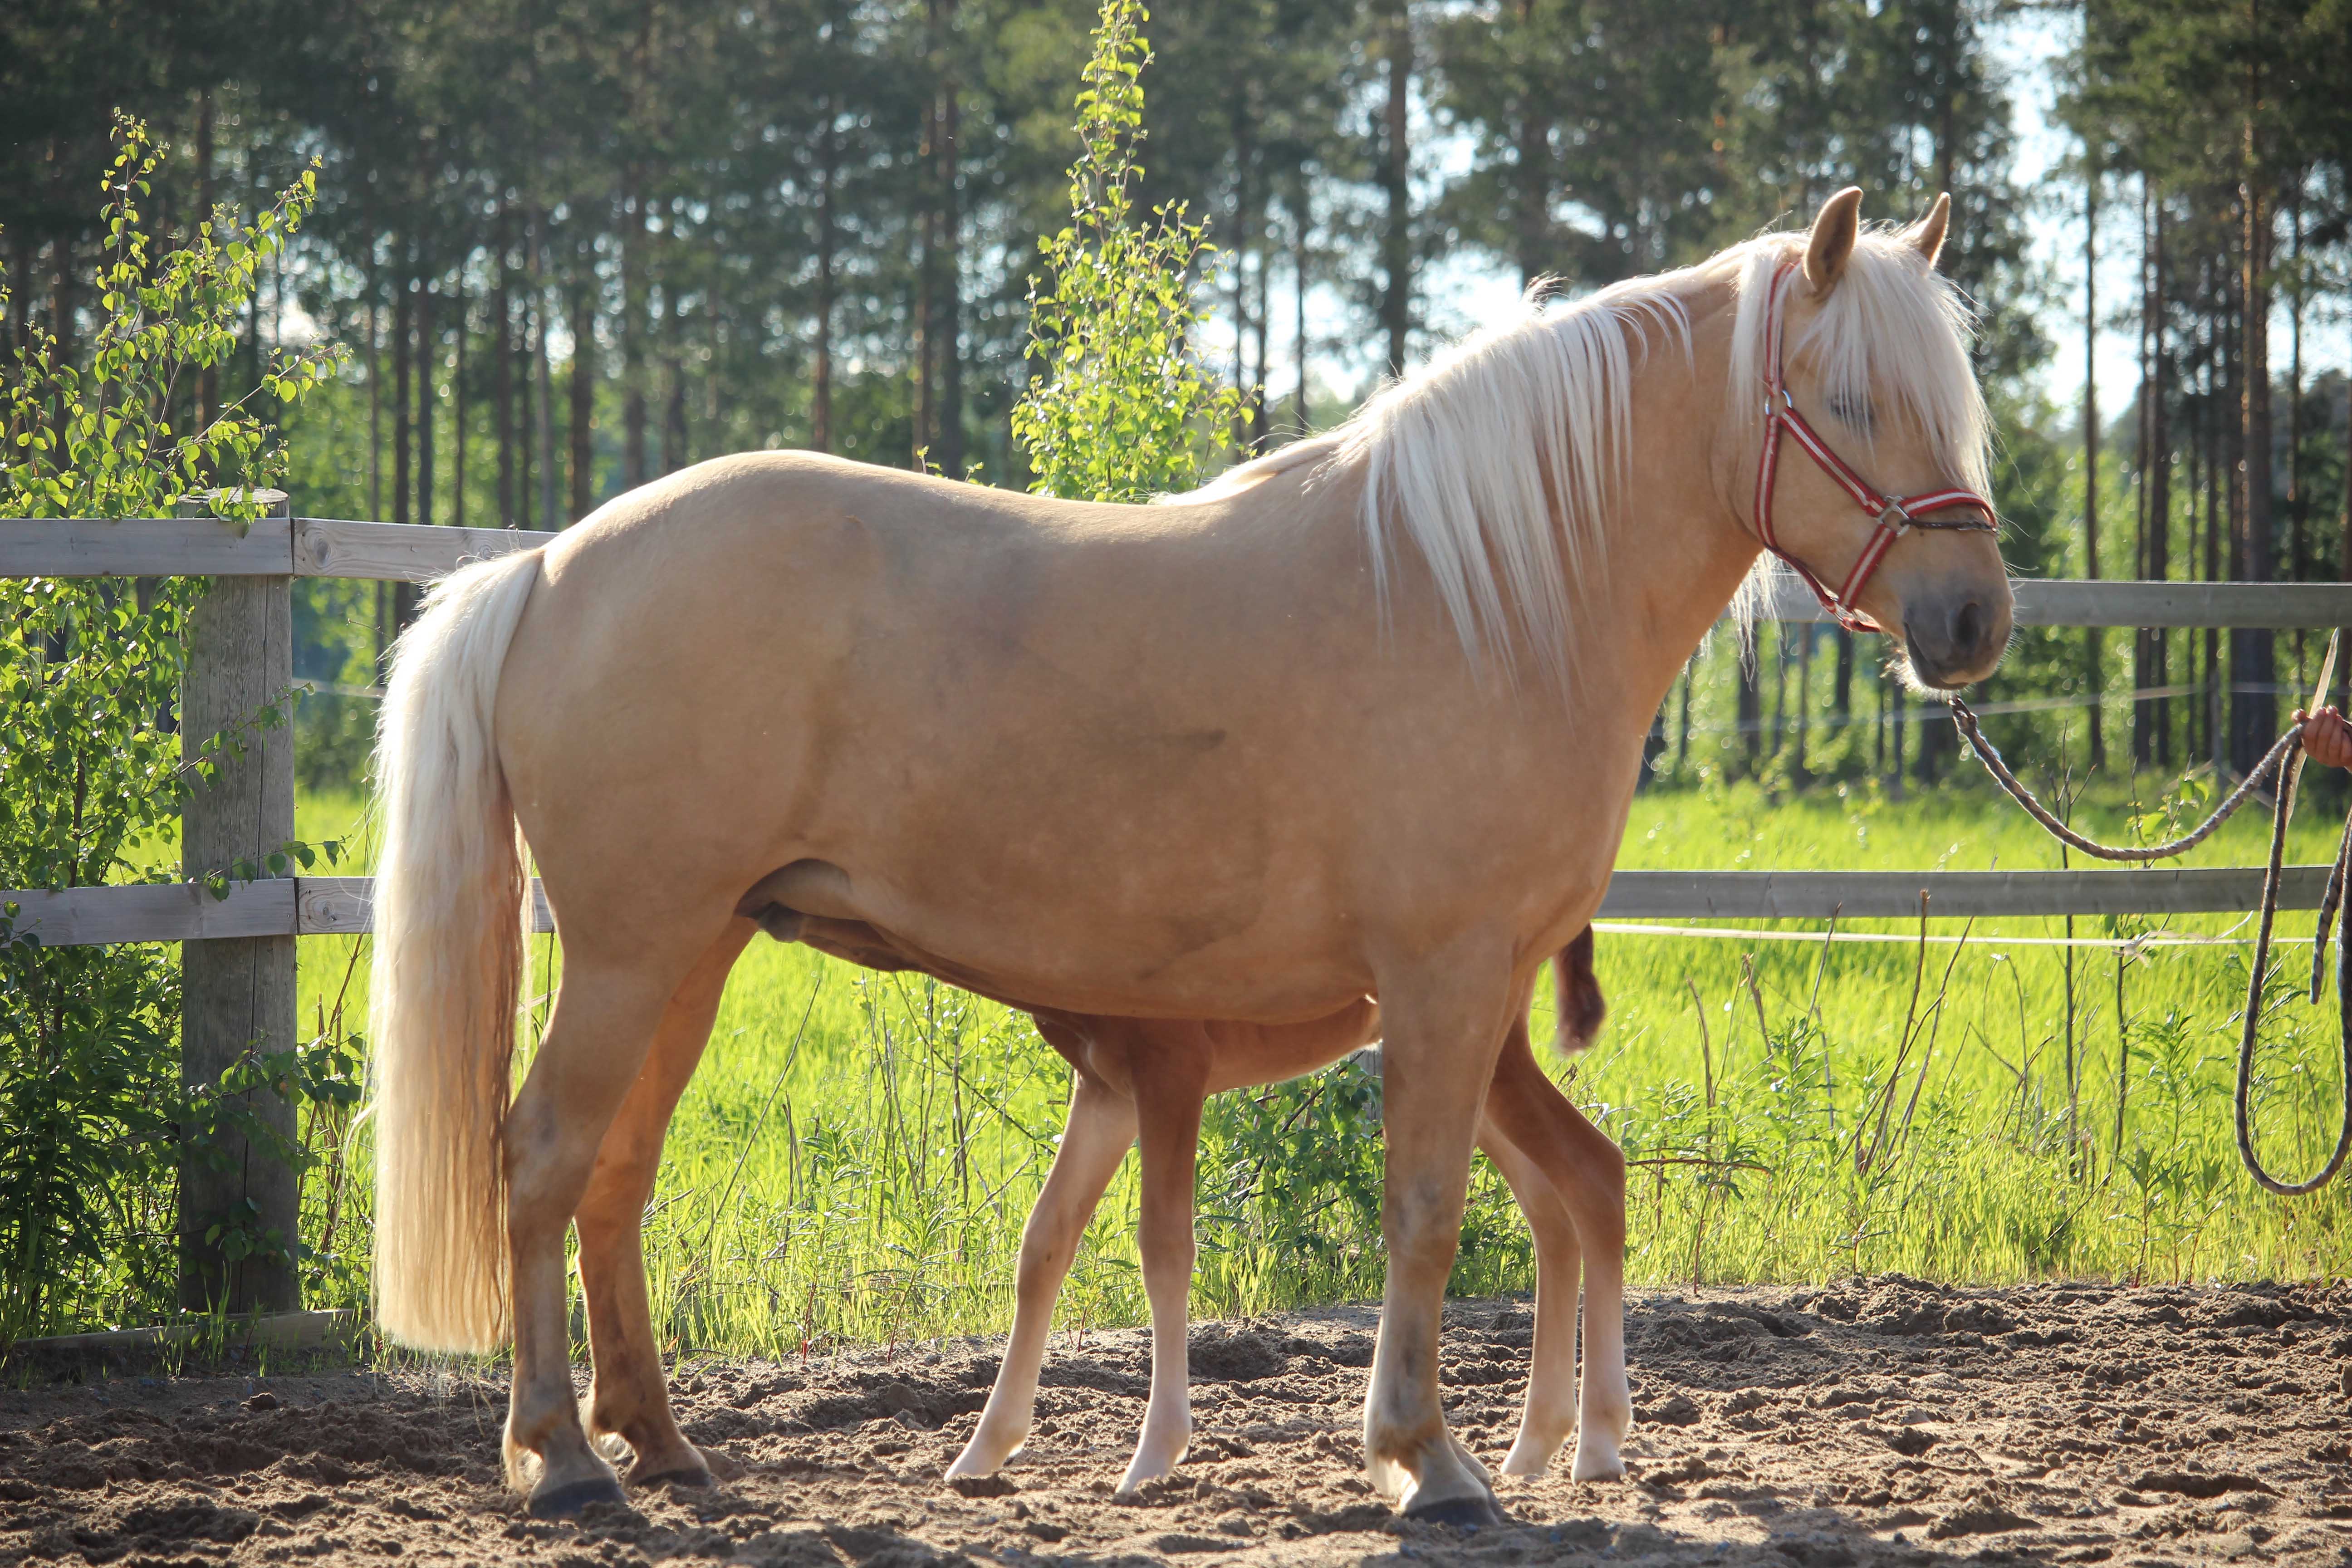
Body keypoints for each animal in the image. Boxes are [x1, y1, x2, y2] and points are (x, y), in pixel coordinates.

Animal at [367, 190, 2004, 1523]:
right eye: (1849, 400)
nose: (1974, 617)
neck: (1490, 589)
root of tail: (550, 566)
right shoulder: (1444, 982)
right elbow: (1423, 1210)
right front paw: (1426, 1460)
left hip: (692, 950)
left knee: (617, 1176)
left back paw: (657, 1440)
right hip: (635, 950)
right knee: (544, 1156)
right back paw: (564, 1457)